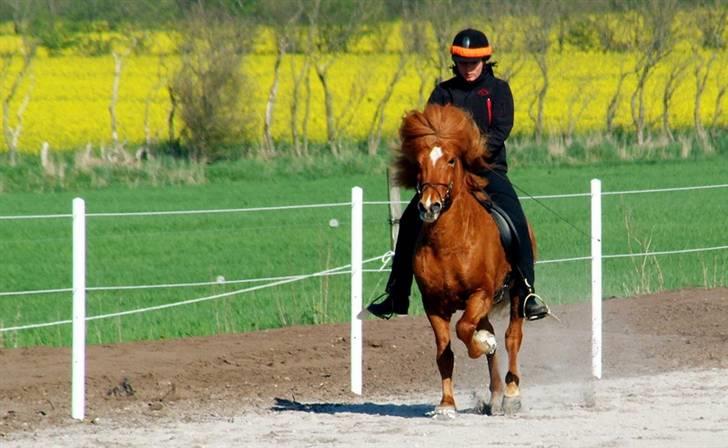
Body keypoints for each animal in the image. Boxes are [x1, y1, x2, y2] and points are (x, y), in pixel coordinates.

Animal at [396, 102, 532, 416]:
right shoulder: (433, 304)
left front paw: (483, 345)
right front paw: (446, 404)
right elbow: (444, 352)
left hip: (517, 294)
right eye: (419, 162)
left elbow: (465, 330)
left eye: (450, 161)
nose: (429, 207)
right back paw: (494, 395)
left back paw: (510, 394)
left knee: (512, 337)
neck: (449, 243)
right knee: (488, 331)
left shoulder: (480, 293)